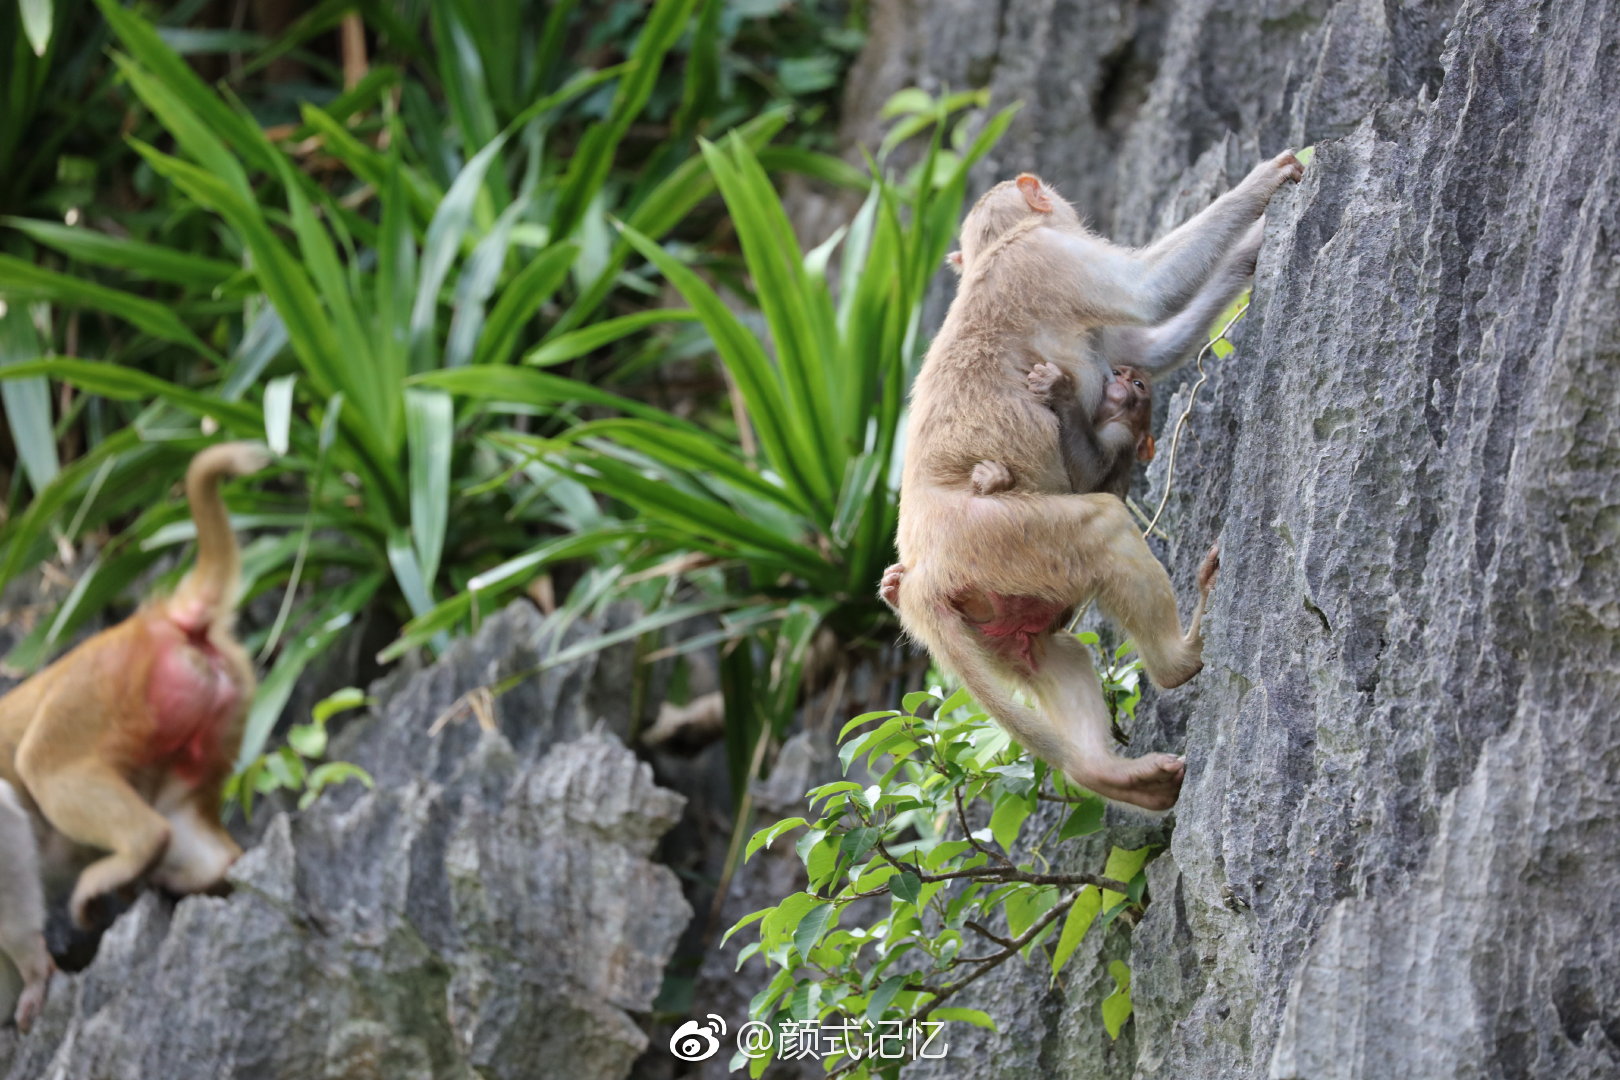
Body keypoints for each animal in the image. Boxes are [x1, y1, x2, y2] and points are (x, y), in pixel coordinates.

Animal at [894, 153, 1296, 809]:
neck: (997, 248)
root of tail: (920, 573)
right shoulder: (1049, 257)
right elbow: (1148, 291)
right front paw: (1262, 188)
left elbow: (1148, 346)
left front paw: (1250, 253)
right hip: (995, 538)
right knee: (1100, 530)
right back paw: (1180, 658)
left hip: (987, 602)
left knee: (1041, 650)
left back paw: (1103, 774)